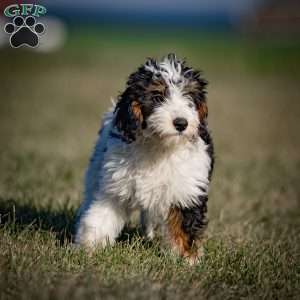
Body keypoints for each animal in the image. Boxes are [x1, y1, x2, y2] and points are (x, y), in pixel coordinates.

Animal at [76, 54, 214, 264]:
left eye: (189, 97)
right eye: (157, 97)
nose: (181, 123)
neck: (160, 146)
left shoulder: (187, 190)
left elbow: (185, 226)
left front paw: (188, 259)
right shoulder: (115, 188)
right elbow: (101, 216)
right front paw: (89, 246)